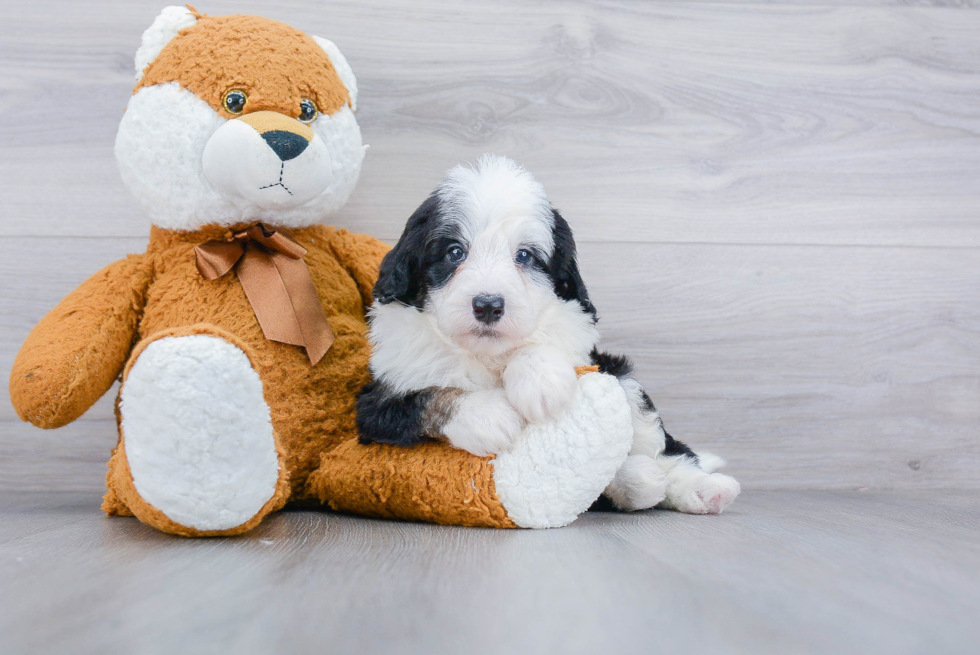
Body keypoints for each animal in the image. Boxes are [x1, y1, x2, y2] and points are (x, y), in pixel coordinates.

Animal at [356, 156, 740, 516]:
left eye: (524, 256)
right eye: (454, 252)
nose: (488, 305)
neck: (485, 354)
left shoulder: (585, 350)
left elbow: (543, 344)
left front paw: (540, 384)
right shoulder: (375, 406)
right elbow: (429, 396)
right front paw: (487, 414)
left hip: (622, 380)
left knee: (662, 446)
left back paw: (700, 488)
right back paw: (635, 481)